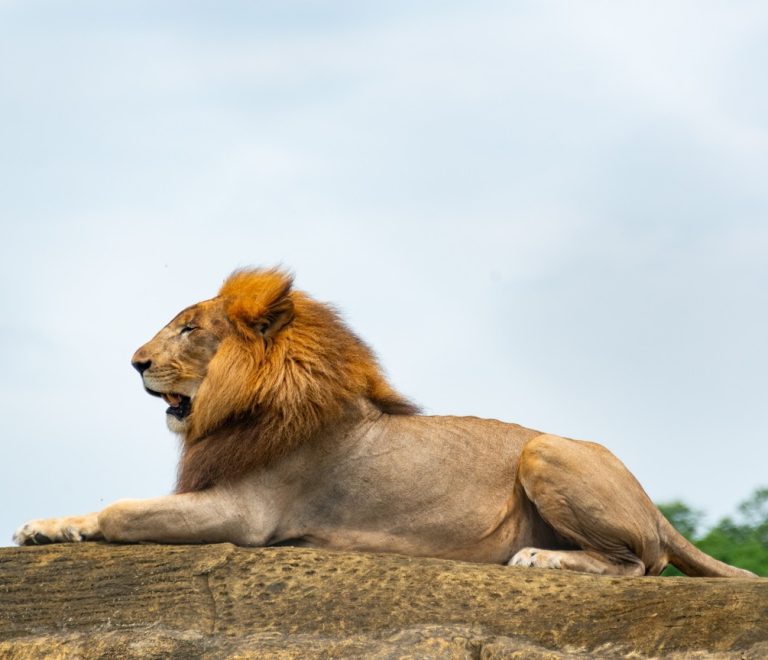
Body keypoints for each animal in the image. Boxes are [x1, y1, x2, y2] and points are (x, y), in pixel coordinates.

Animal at [14, 267, 756, 578]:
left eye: (190, 329)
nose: (134, 362)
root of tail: (653, 504)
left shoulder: (246, 513)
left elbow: (122, 511)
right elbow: (105, 507)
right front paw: (42, 527)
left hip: (545, 451)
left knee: (638, 565)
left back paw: (541, 558)